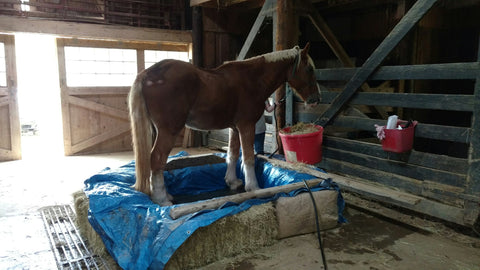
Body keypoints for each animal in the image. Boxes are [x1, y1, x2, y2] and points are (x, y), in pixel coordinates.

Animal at [129, 43, 320, 206]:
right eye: (310, 69)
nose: (315, 99)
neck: (253, 79)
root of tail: (147, 74)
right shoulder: (246, 126)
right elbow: (248, 157)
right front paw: (254, 187)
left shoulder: (234, 128)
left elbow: (232, 154)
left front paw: (232, 181)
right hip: (169, 131)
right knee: (156, 159)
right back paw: (162, 199)